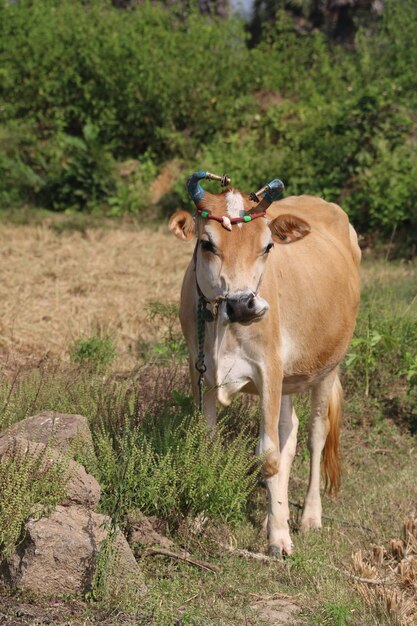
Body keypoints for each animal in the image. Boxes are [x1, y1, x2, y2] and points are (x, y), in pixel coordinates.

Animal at [169, 171, 360, 556]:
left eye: (268, 246)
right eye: (207, 244)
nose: (244, 305)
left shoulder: (268, 370)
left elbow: (268, 456)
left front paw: (280, 538)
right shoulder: (200, 372)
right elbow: (207, 445)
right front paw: (198, 518)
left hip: (328, 367)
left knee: (316, 434)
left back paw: (308, 516)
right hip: (289, 379)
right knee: (290, 432)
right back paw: (279, 513)